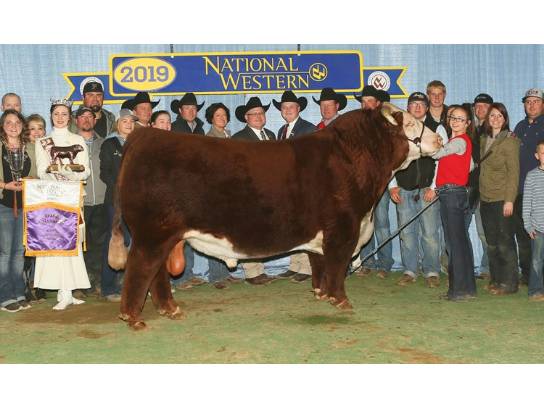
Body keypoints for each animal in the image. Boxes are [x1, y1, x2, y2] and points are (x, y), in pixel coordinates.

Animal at [108, 103, 441, 329]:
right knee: (141, 269)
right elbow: (336, 266)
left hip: (164, 235)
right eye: (411, 123)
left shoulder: (322, 234)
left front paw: (321, 294)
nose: (438, 140)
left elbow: (319, 265)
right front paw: (341, 300)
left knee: (158, 273)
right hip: (152, 234)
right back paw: (133, 317)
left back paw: (170, 309)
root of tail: (143, 134)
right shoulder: (342, 229)